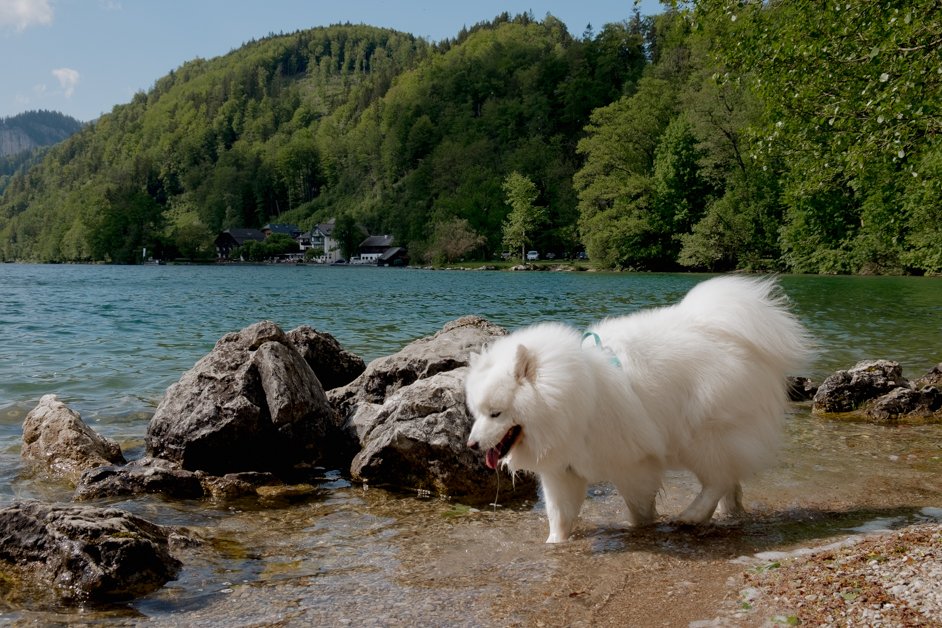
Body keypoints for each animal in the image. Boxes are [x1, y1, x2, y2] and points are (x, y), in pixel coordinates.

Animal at [464, 278, 812, 544]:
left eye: (496, 413)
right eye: (477, 413)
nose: (471, 445)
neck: (575, 400)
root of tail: (728, 333)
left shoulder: (633, 464)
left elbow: (640, 508)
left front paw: (641, 528)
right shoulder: (563, 470)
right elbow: (560, 517)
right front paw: (554, 544)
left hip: (701, 437)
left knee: (718, 479)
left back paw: (691, 516)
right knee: (730, 482)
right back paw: (729, 515)